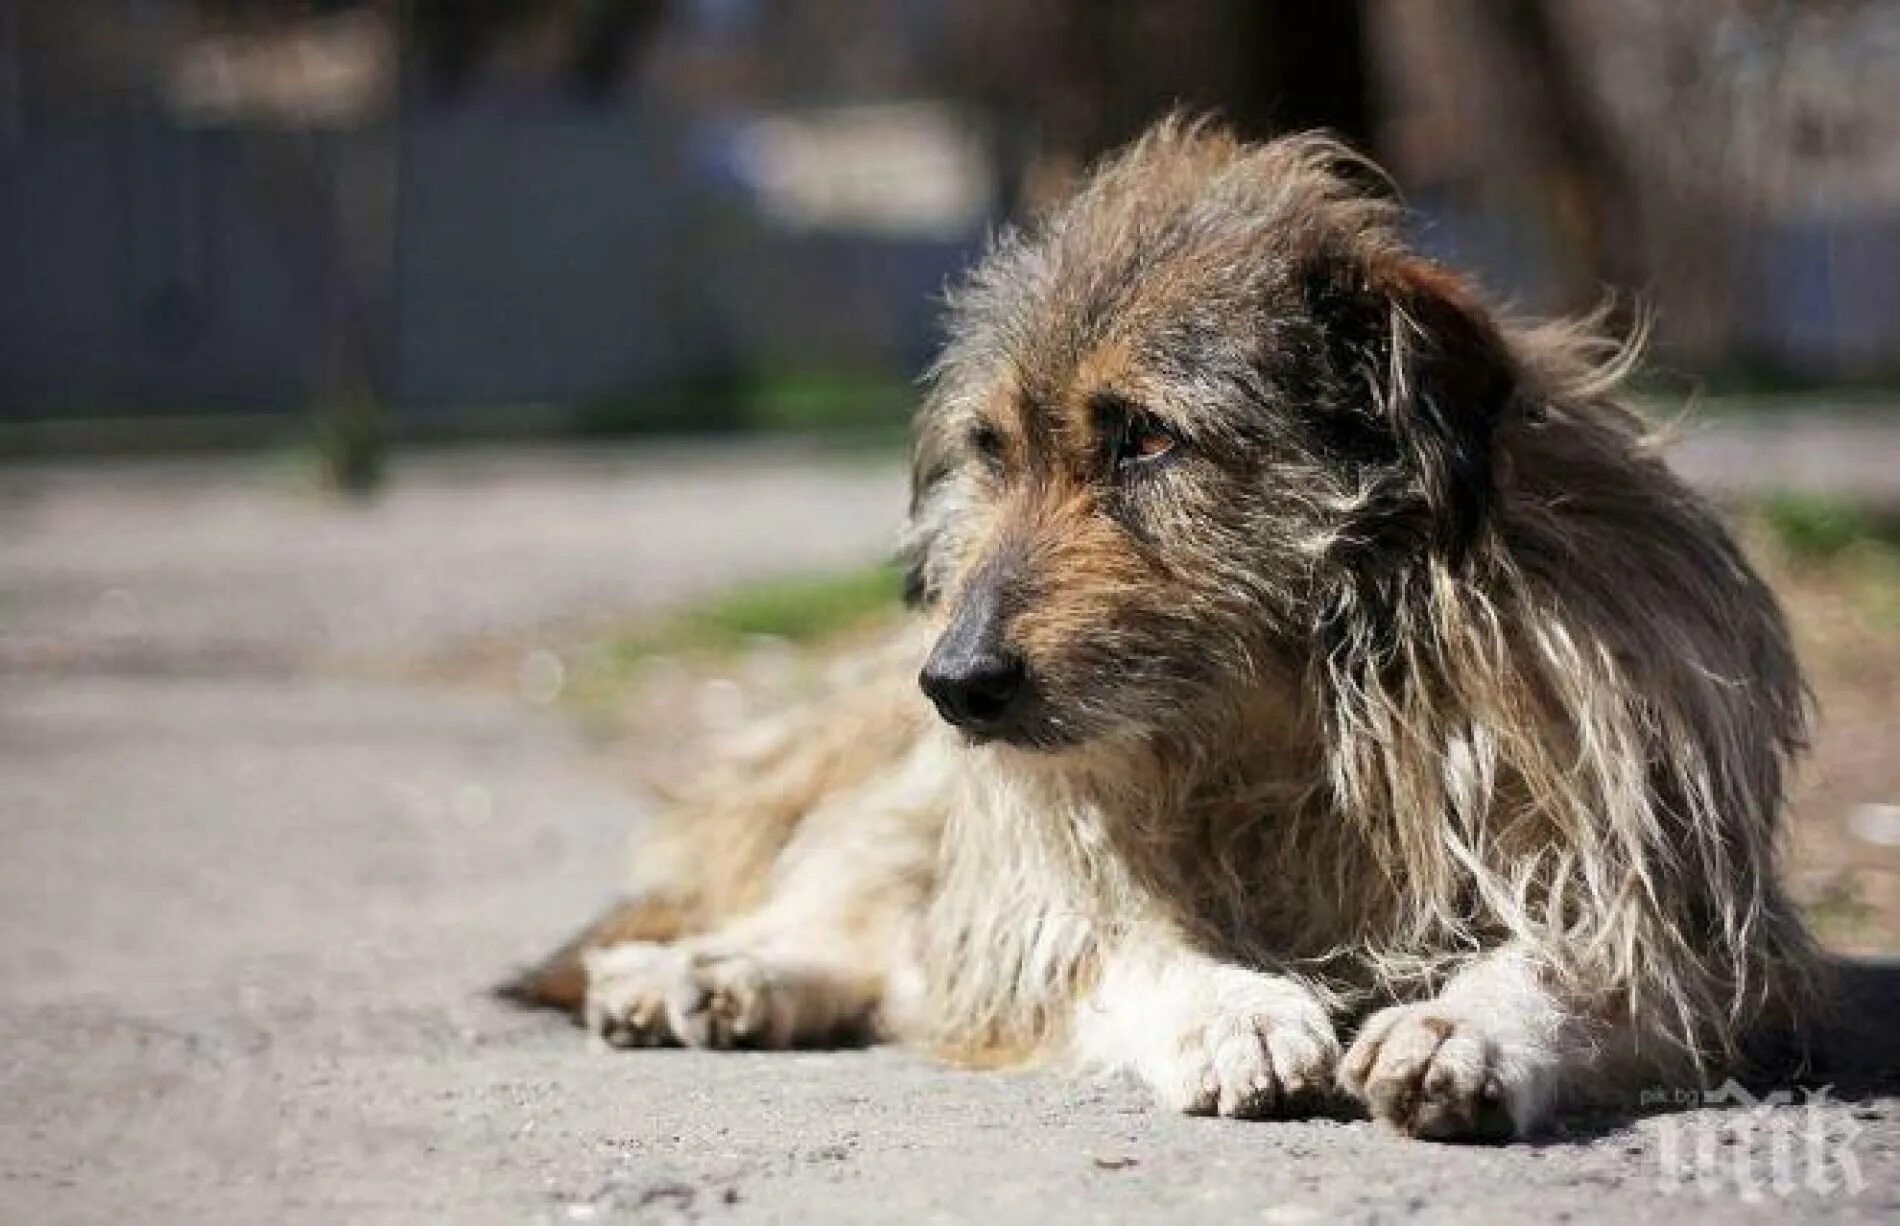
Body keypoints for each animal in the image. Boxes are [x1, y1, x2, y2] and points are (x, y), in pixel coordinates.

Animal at [509, 119, 1824, 1140]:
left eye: (1143, 437)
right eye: (994, 448)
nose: (953, 681)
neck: (1290, 716)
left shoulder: (1667, 895)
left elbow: (1576, 955)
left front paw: (1461, 1022)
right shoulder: (1046, 874)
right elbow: (1111, 945)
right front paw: (1230, 1007)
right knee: (860, 907)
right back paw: (700, 968)